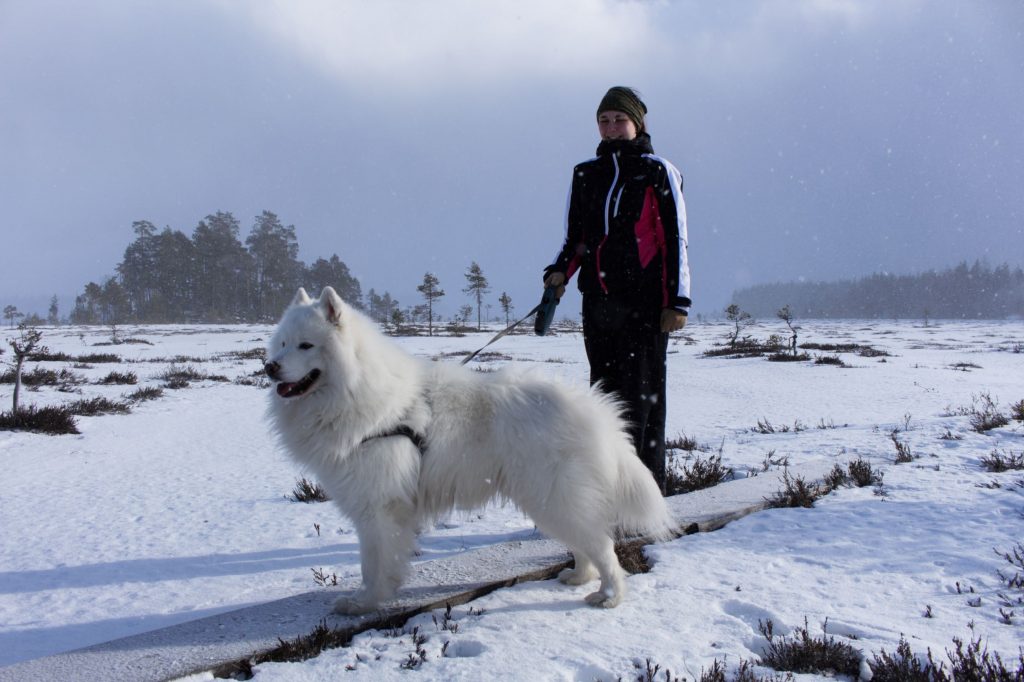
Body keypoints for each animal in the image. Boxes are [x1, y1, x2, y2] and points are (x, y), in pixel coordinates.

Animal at [268, 286, 675, 610]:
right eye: (283, 343)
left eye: (306, 345)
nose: (270, 367)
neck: (359, 394)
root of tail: (599, 413)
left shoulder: (378, 507)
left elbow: (374, 564)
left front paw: (364, 603)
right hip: (553, 502)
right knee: (585, 545)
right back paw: (578, 577)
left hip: (555, 499)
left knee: (603, 547)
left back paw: (609, 597)